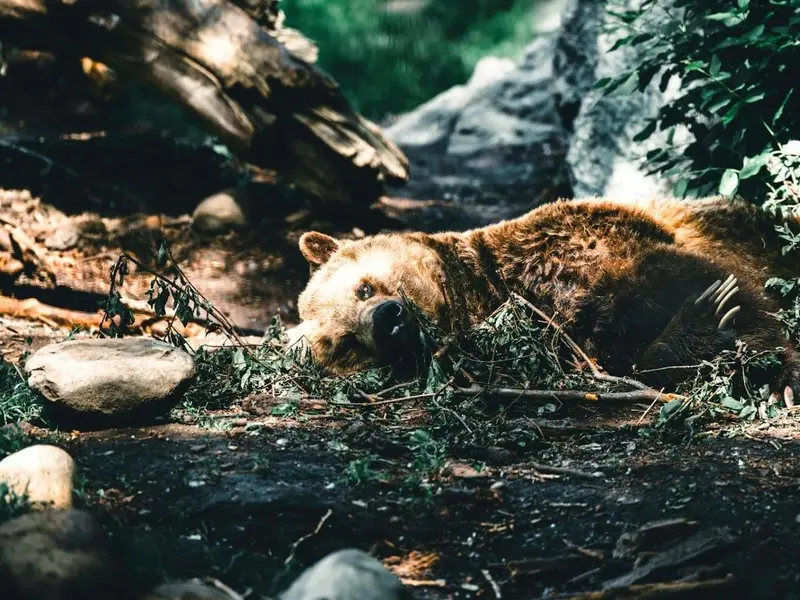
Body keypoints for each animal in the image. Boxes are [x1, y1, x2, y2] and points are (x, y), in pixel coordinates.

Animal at [287, 195, 800, 397]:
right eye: (345, 344)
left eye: (363, 287)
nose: (386, 320)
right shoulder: (561, 336)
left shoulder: (586, 240)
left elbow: (686, 278)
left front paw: (769, 370)